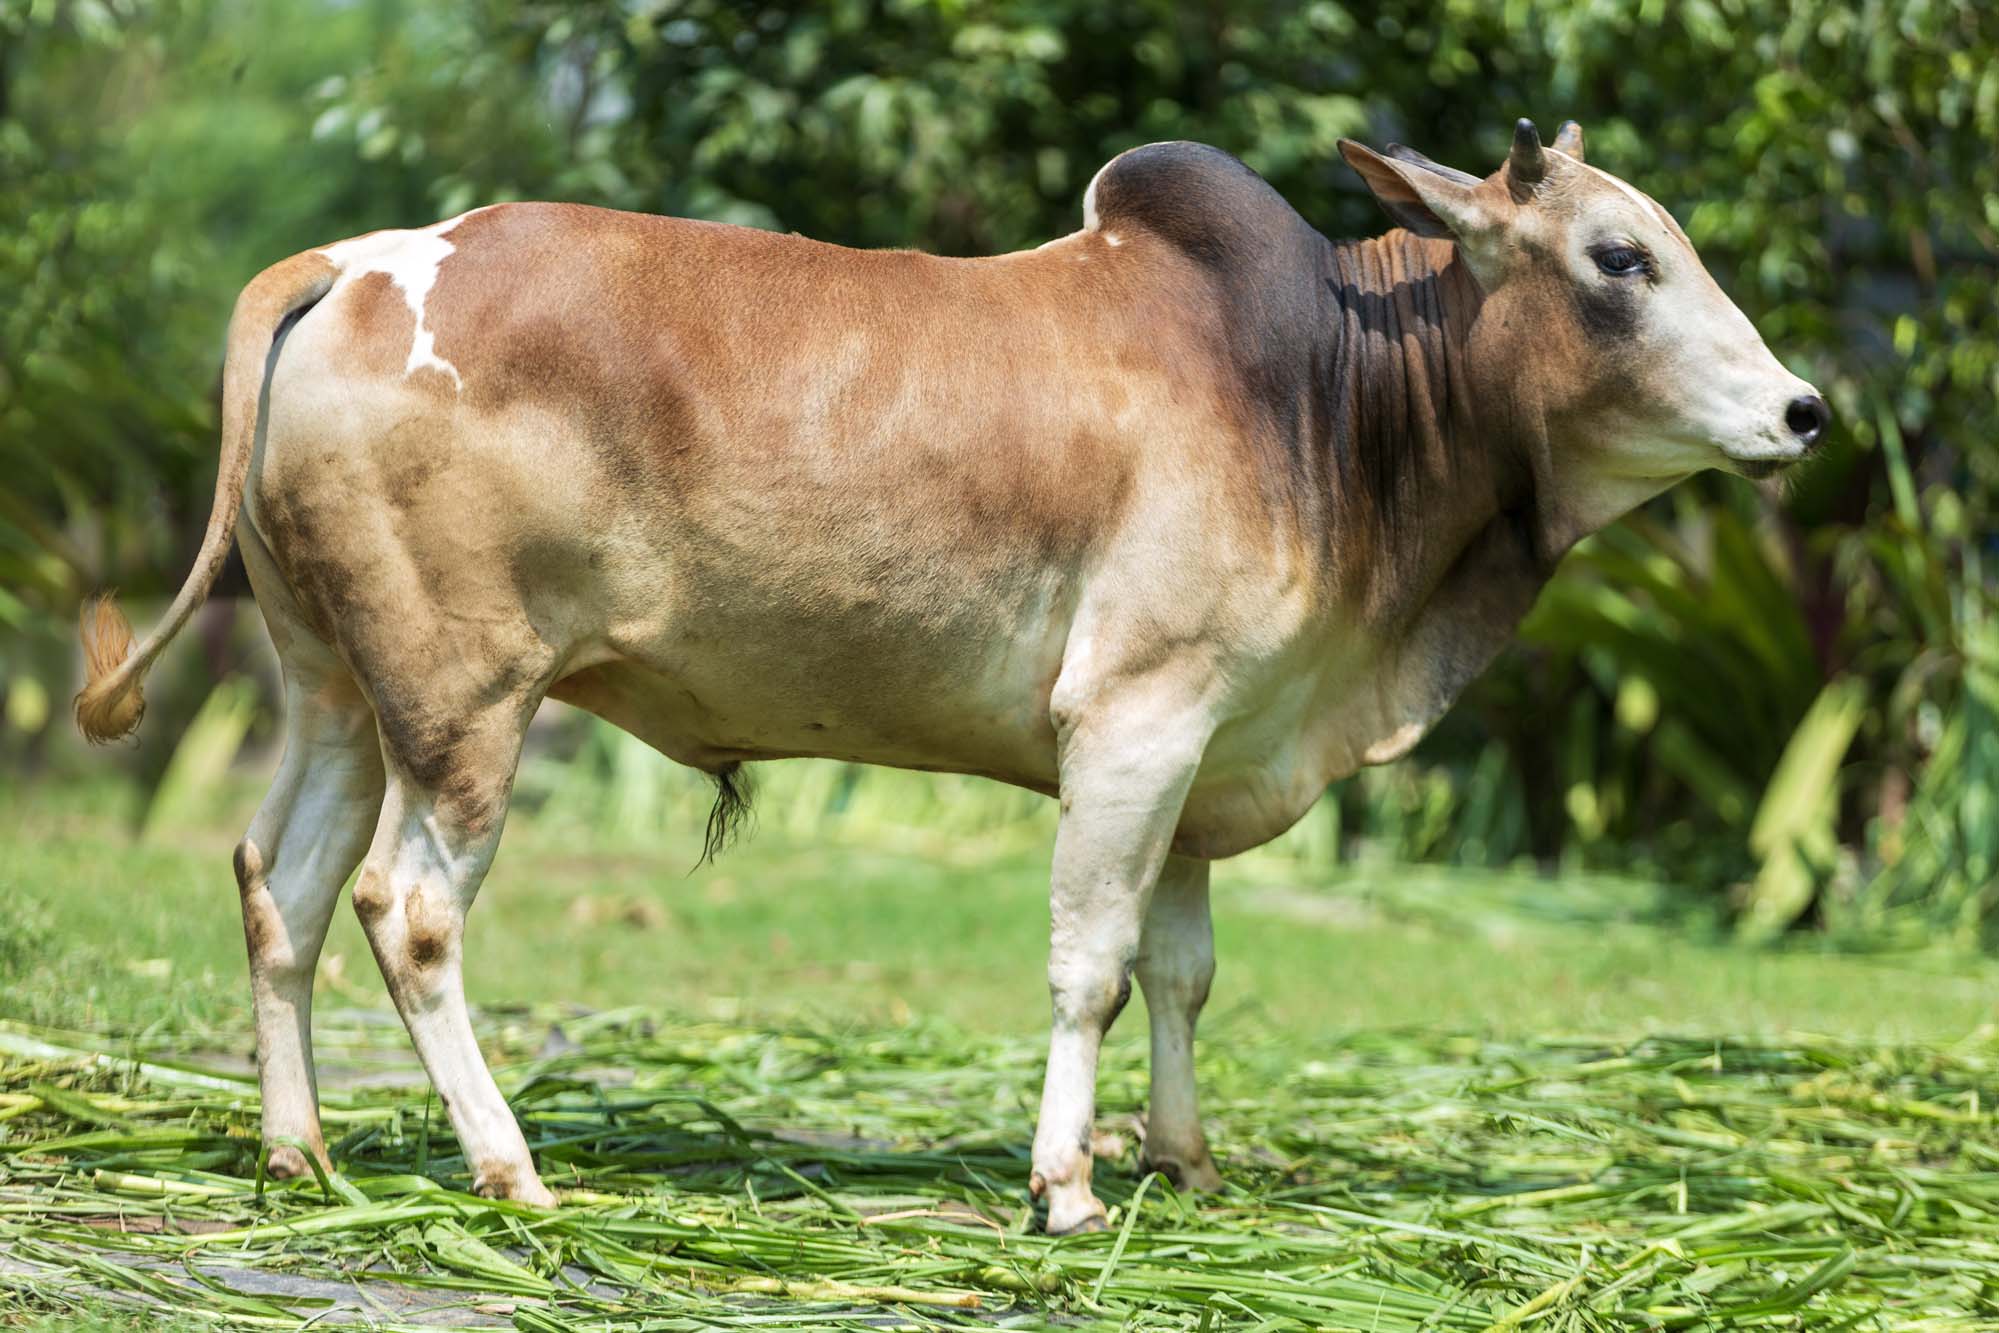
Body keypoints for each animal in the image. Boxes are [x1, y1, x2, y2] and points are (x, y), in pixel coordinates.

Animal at [75, 118, 1827, 1233]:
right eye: (1618, 257)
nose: (1803, 410)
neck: (1327, 395)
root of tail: (358, 258)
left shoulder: (1207, 751)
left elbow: (1182, 972)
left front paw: (1185, 1164)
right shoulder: (1133, 720)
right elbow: (1090, 966)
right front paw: (1066, 1185)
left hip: (335, 695)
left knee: (280, 888)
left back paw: (297, 1155)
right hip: (464, 706)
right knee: (407, 910)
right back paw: (509, 1171)